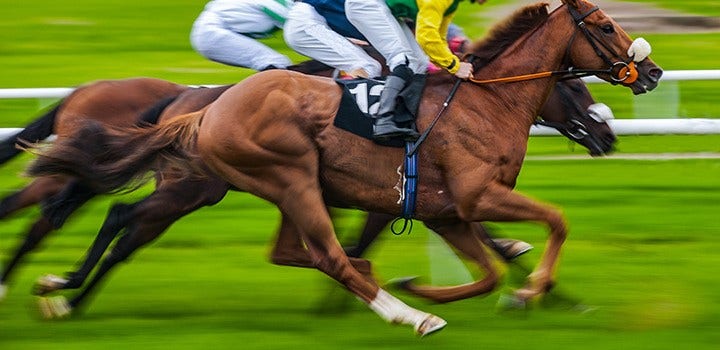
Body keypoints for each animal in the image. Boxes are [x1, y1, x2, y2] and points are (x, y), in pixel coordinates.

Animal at [25, 0, 660, 334]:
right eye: (605, 25)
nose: (650, 74)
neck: (485, 101)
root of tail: (206, 107)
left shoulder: (445, 211)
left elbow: (488, 269)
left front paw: (457, 286)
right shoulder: (475, 197)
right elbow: (554, 222)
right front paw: (530, 292)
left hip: (270, 186)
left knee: (287, 248)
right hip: (274, 178)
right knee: (320, 252)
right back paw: (406, 314)